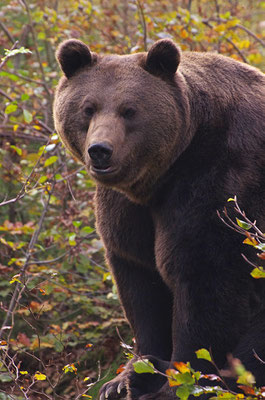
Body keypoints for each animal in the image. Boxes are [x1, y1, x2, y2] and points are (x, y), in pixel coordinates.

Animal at [53, 38, 264, 400]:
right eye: (88, 108)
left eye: (129, 110)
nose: (100, 150)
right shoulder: (129, 211)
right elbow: (141, 282)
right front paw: (126, 378)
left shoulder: (221, 181)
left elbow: (204, 280)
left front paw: (180, 381)